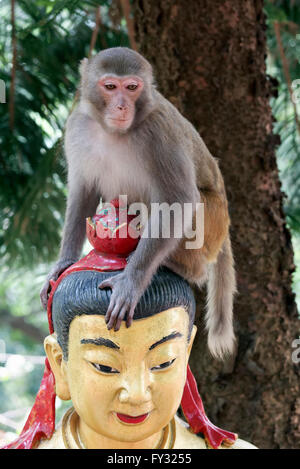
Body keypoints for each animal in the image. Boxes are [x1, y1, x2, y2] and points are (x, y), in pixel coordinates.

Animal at [40, 46, 237, 358]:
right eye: (110, 87)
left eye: (132, 88)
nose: (122, 106)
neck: (112, 131)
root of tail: (226, 217)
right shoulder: (77, 126)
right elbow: (83, 191)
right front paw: (64, 262)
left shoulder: (160, 132)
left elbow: (179, 199)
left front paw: (131, 283)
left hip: (213, 220)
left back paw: (180, 266)